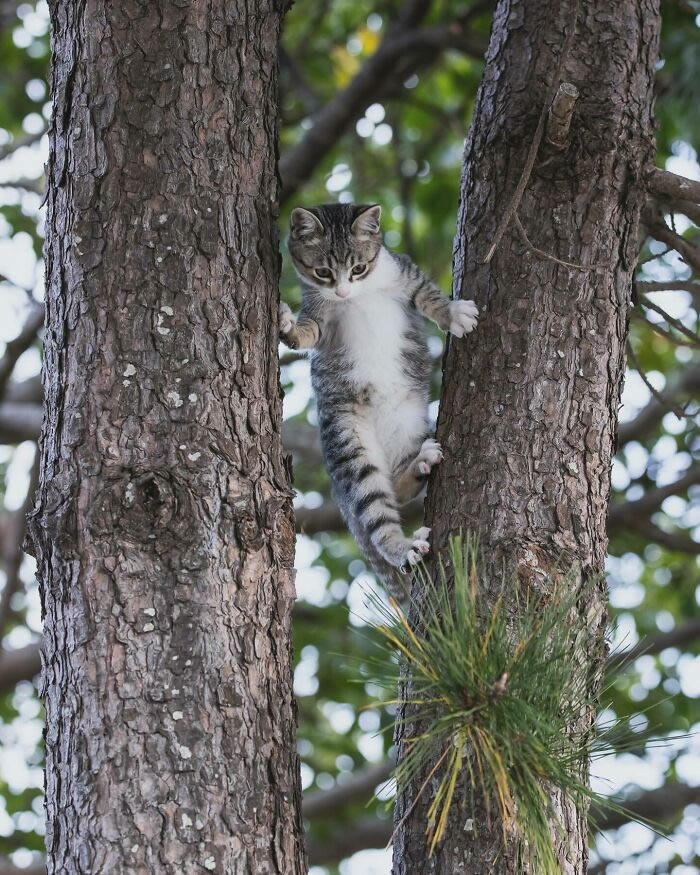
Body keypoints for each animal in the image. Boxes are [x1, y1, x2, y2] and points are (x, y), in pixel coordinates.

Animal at [282, 202, 478, 596]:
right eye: (323, 272)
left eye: (358, 268)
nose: (342, 292)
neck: (361, 293)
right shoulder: (319, 314)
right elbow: (307, 332)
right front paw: (287, 327)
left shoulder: (404, 270)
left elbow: (426, 293)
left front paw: (453, 314)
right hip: (348, 437)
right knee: (374, 503)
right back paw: (402, 548)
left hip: (408, 422)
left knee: (397, 488)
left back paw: (418, 465)